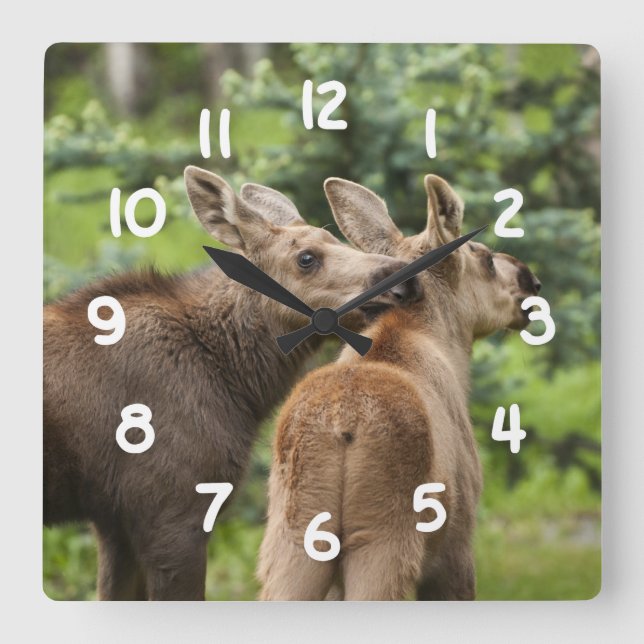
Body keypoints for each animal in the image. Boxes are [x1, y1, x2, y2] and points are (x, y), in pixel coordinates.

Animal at [43, 166, 421, 600]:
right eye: (306, 258)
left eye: (336, 237)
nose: (405, 281)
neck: (239, 383)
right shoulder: (172, 511)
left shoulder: (114, 522)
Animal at [258, 173, 542, 601]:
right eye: (487, 260)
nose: (531, 280)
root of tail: (341, 426)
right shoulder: (457, 544)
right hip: (384, 540)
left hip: (294, 541)